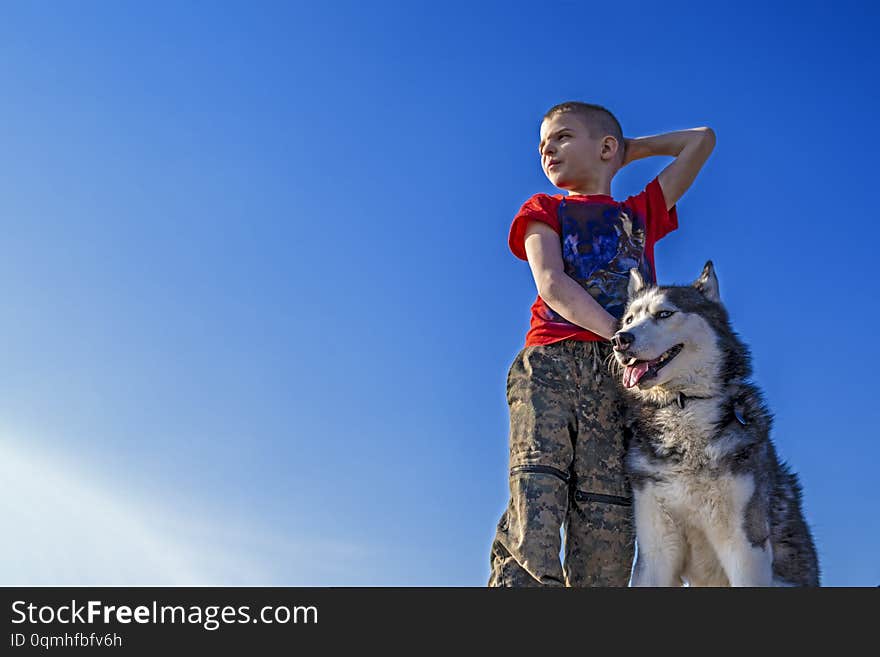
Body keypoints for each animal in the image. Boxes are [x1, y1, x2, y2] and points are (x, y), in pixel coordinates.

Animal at [612, 258, 820, 588]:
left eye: (664, 314)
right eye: (629, 319)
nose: (620, 339)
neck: (683, 406)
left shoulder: (745, 545)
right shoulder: (656, 546)